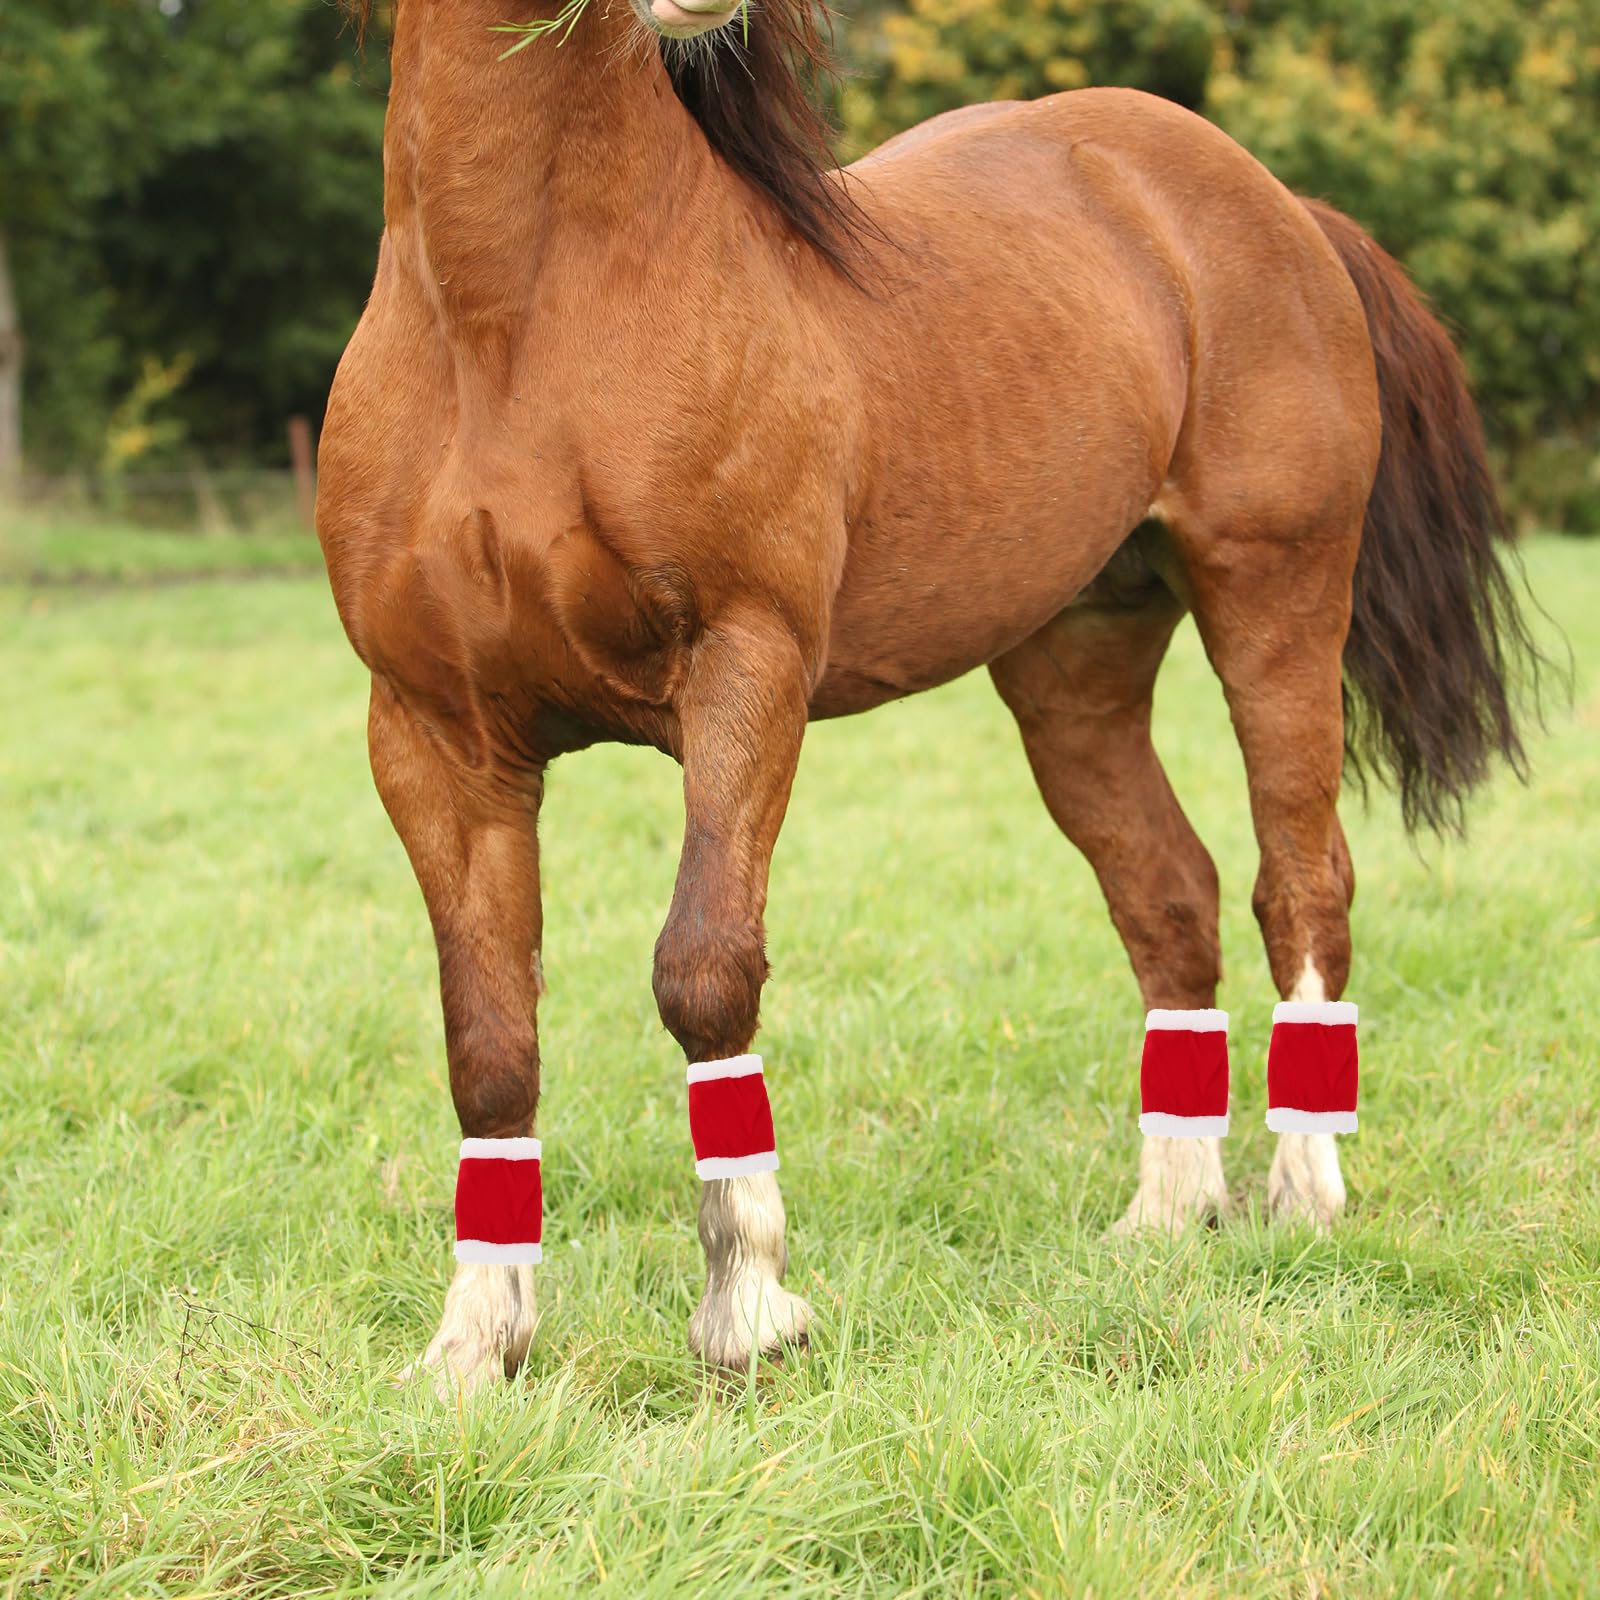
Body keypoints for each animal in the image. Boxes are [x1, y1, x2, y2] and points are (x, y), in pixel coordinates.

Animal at [317, 0, 1538, 1392]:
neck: (506, 322)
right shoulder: (433, 735)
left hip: (1276, 597)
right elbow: (487, 1039)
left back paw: (1305, 1189)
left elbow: (703, 970)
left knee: (1301, 881)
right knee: (1168, 895)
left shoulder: (744, 668)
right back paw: (1168, 1214)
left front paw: (749, 1308)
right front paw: (474, 1342)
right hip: (1075, 664)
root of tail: (1275, 202)